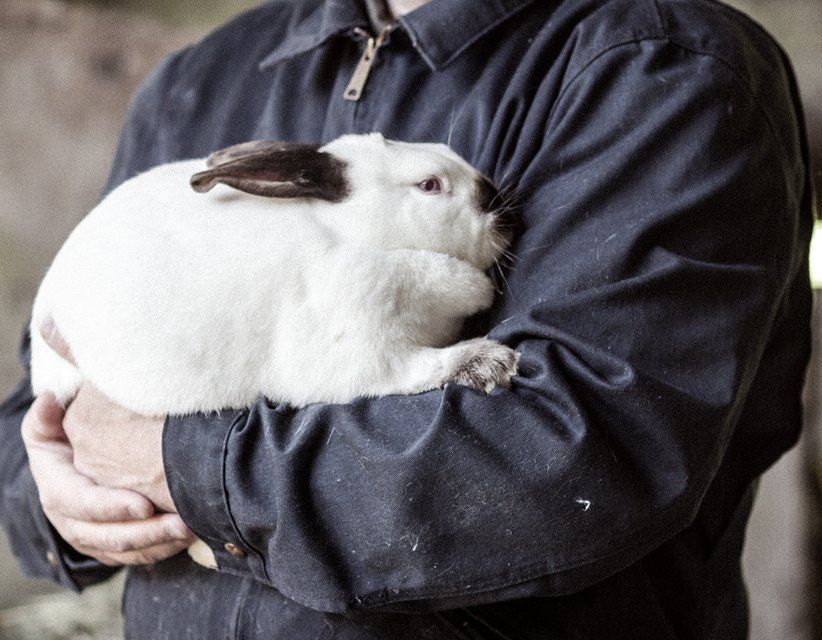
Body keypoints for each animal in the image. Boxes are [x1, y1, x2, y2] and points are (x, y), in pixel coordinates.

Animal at [30, 132, 519, 418]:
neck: (356, 238)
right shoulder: (362, 356)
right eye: (429, 185)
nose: (499, 205)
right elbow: (423, 368)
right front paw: (490, 362)